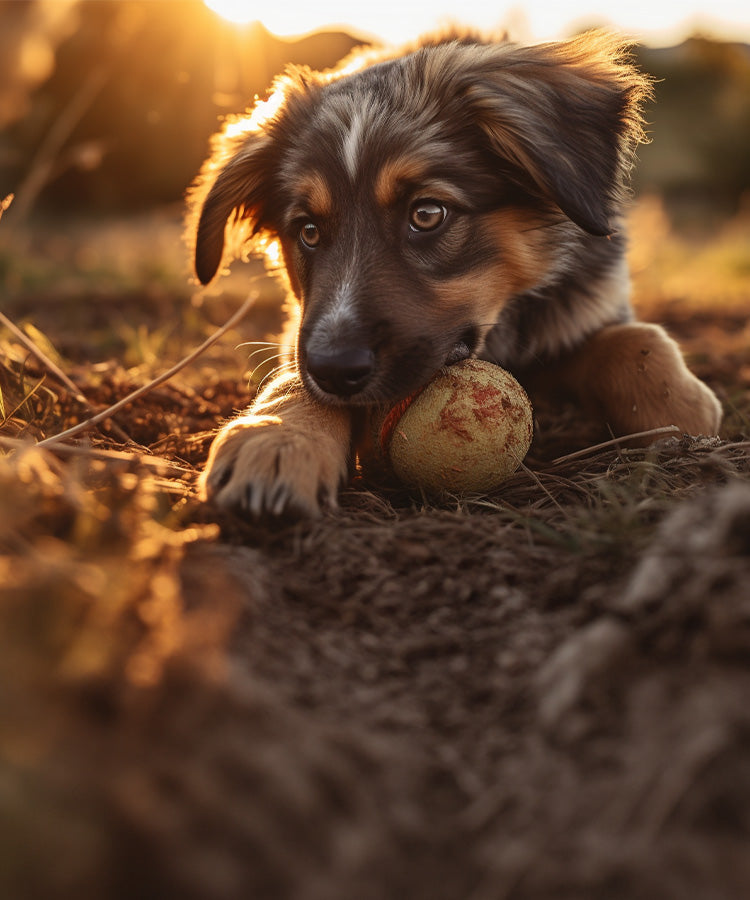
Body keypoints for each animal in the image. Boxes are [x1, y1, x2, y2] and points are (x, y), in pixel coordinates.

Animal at [188, 31, 724, 516]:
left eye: (427, 214)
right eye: (309, 231)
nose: (337, 369)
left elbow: (637, 340)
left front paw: (681, 412)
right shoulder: (302, 330)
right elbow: (294, 377)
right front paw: (277, 440)